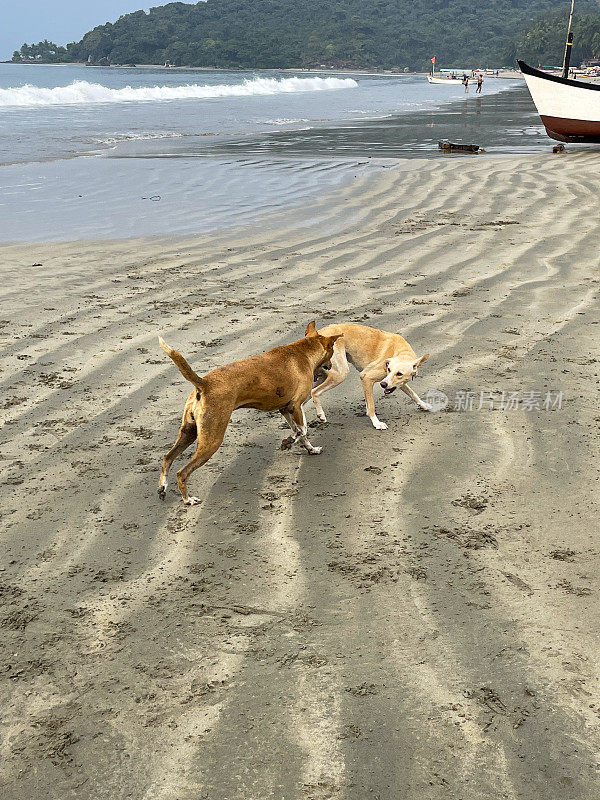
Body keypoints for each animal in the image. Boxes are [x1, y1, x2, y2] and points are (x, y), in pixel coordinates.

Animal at [158, 322, 342, 504]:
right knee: (182, 472)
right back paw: (188, 499)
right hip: (212, 440)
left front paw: (311, 449)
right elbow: (302, 430)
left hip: (189, 433)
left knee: (167, 458)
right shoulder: (295, 406)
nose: (331, 366)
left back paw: (163, 487)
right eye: (332, 350)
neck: (303, 352)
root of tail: (204, 383)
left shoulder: (285, 409)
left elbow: (301, 433)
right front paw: (290, 441)